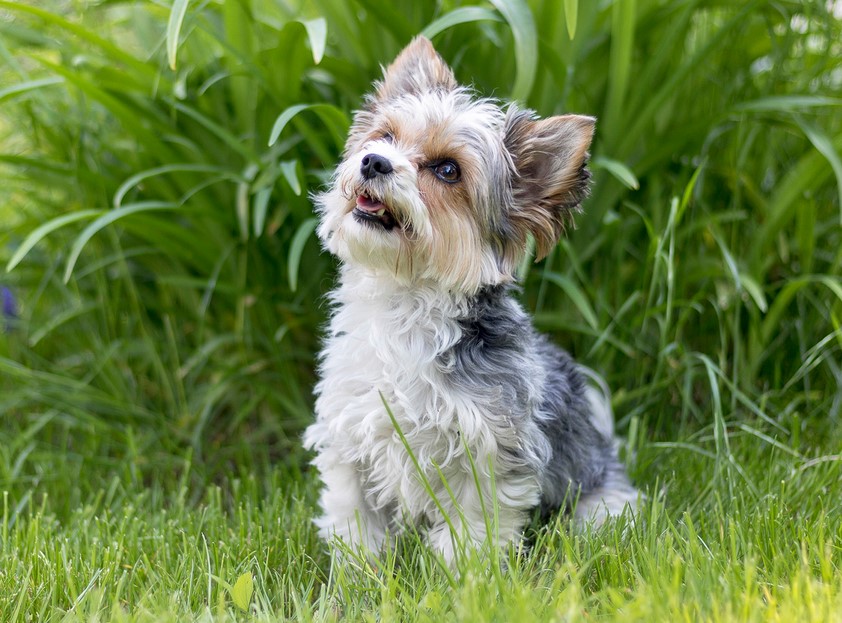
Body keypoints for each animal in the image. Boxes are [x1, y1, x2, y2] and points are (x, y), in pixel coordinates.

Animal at [304, 35, 636, 564]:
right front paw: (357, 575)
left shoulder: (489, 455)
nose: (374, 161)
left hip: (601, 504)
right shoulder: (350, 441)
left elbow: (473, 532)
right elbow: (356, 524)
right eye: (385, 136)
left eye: (447, 170)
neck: (405, 305)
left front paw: (466, 578)